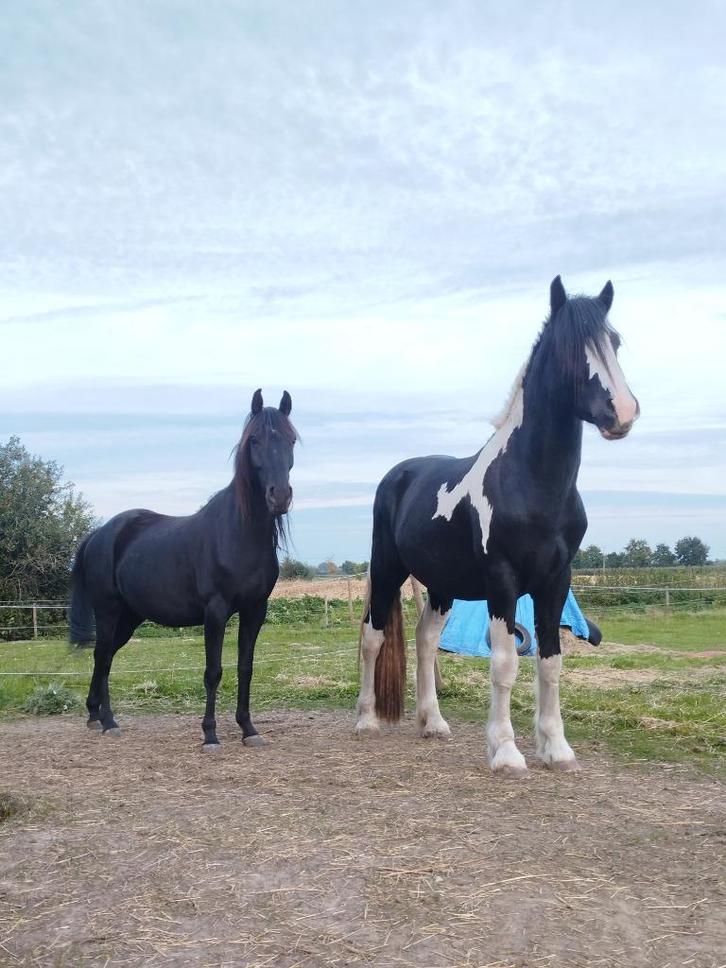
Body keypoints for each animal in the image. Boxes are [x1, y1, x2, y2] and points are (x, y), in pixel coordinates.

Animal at [69, 389, 297, 748]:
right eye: (255, 440)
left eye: (291, 440)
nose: (280, 496)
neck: (238, 533)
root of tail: (100, 533)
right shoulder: (215, 611)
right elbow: (213, 672)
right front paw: (210, 735)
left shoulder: (255, 610)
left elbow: (245, 668)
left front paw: (248, 729)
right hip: (107, 611)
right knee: (103, 657)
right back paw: (108, 721)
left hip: (129, 617)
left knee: (104, 658)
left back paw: (95, 716)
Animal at [355, 276, 639, 775]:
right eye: (567, 349)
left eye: (615, 342)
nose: (622, 411)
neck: (531, 482)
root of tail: (398, 474)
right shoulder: (502, 581)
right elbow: (505, 664)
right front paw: (506, 751)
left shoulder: (556, 580)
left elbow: (550, 663)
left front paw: (556, 748)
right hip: (388, 569)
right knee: (373, 637)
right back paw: (366, 719)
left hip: (442, 585)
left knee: (426, 640)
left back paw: (433, 722)